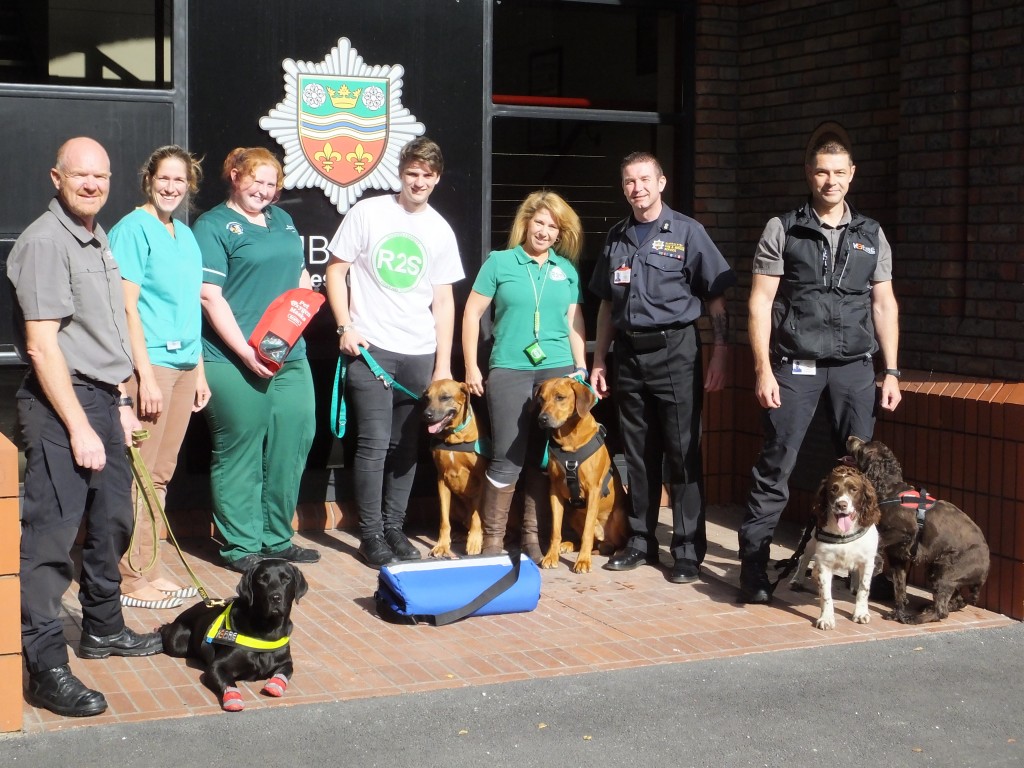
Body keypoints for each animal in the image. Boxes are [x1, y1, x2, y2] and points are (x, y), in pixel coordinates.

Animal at [157, 557, 305, 712]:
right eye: (262, 579)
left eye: (286, 579)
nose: (275, 597)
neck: (267, 630)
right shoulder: (216, 667)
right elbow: (228, 682)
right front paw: (233, 699)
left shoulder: (286, 662)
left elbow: (284, 672)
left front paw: (274, 686)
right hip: (179, 641)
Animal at [532, 376, 626, 573]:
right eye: (541, 399)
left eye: (560, 397)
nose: (542, 419)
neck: (569, 440)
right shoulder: (555, 490)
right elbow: (555, 530)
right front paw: (551, 556)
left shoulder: (593, 491)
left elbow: (587, 532)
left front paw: (583, 561)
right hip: (573, 514)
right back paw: (568, 544)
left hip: (620, 515)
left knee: (615, 541)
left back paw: (618, 551)